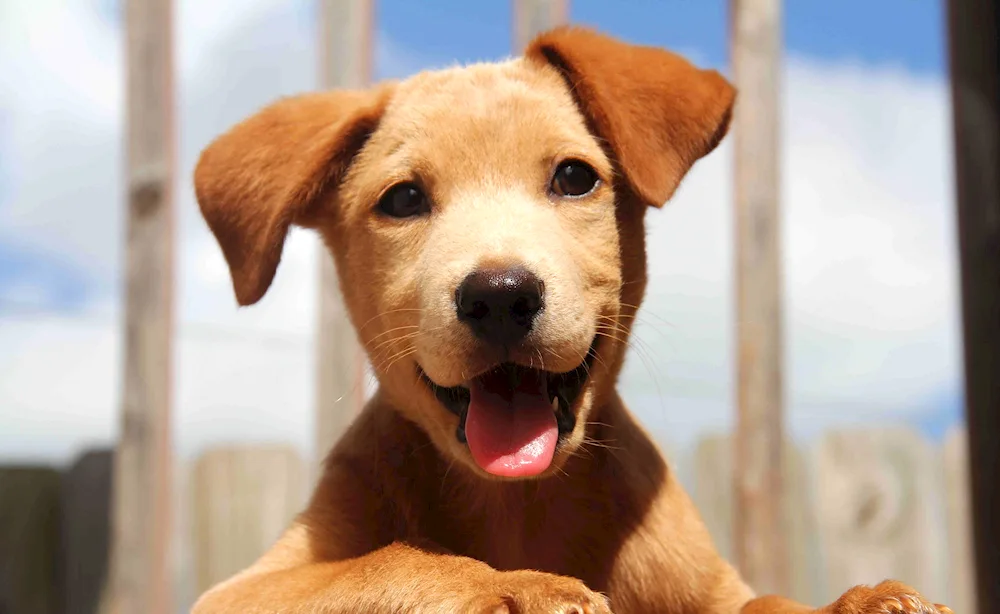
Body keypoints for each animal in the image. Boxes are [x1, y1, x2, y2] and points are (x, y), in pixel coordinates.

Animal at [189, 26, 952, 614]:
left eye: (574, 177)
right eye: (402, 199)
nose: (499, 295)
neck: (520, 506)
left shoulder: (715, 591)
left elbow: (767, 600)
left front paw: (856, 600)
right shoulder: (245, 588)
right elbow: (388, 557)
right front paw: (517, 588)